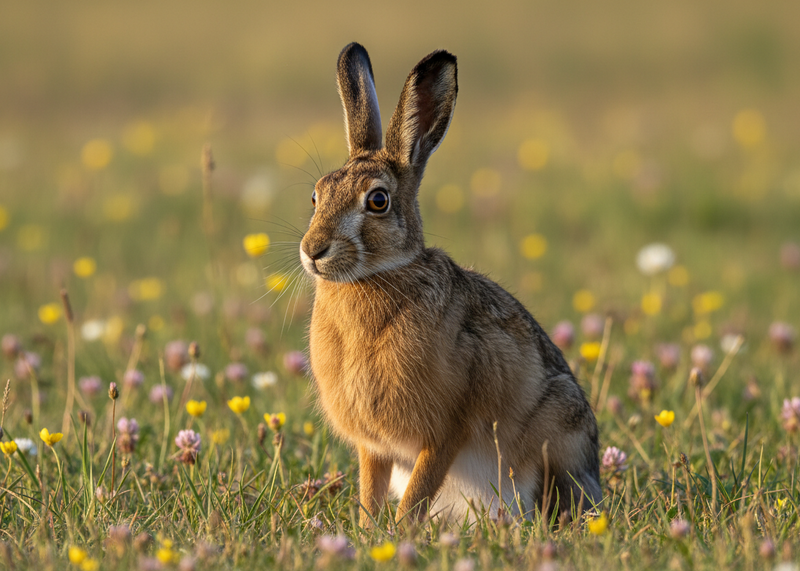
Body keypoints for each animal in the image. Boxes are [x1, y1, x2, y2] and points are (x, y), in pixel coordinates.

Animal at [299, 42, 601, 526]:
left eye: (378, 201)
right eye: (317, 194)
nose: (313, 250)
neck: (377, 277)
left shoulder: (445, 432)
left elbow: (417, 494)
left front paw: (397, 534)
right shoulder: (374, 448)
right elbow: (370, 491)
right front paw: (366, 532)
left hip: (558, 435)